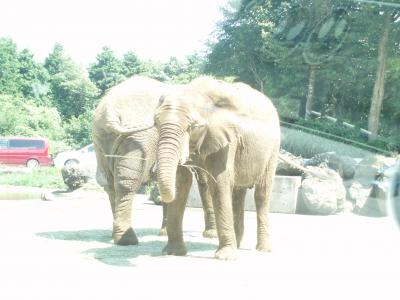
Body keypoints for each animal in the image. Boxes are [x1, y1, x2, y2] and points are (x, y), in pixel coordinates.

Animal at [154, 77, 282, 260]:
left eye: (193, 126)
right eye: (156, 123)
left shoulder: (227, 139)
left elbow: (219, 183)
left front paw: (225, 257)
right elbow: (182, 182)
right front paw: (173, 252)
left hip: (272, 150)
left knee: (262, 194)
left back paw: (262, 249)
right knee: (238, 193)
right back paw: (238, 244)